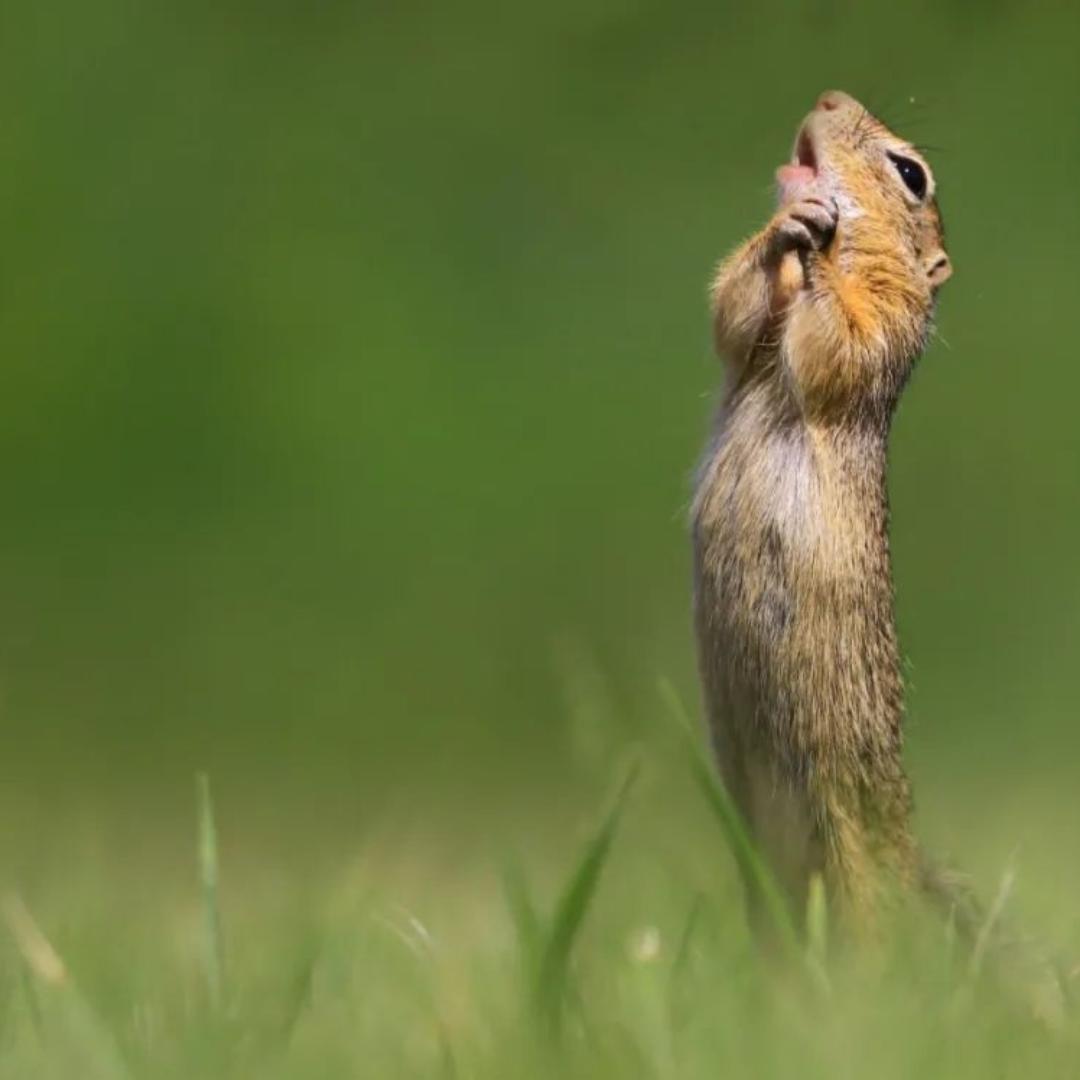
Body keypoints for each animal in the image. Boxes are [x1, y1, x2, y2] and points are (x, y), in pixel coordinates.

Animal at [691, 90, 954, 937]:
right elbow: (734, 312)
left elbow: (838, 341)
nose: (829, 97)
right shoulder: (746, 342)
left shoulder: (884, 322)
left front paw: (812, 238)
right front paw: (786, 229)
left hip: (856, 860)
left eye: (911, 173)